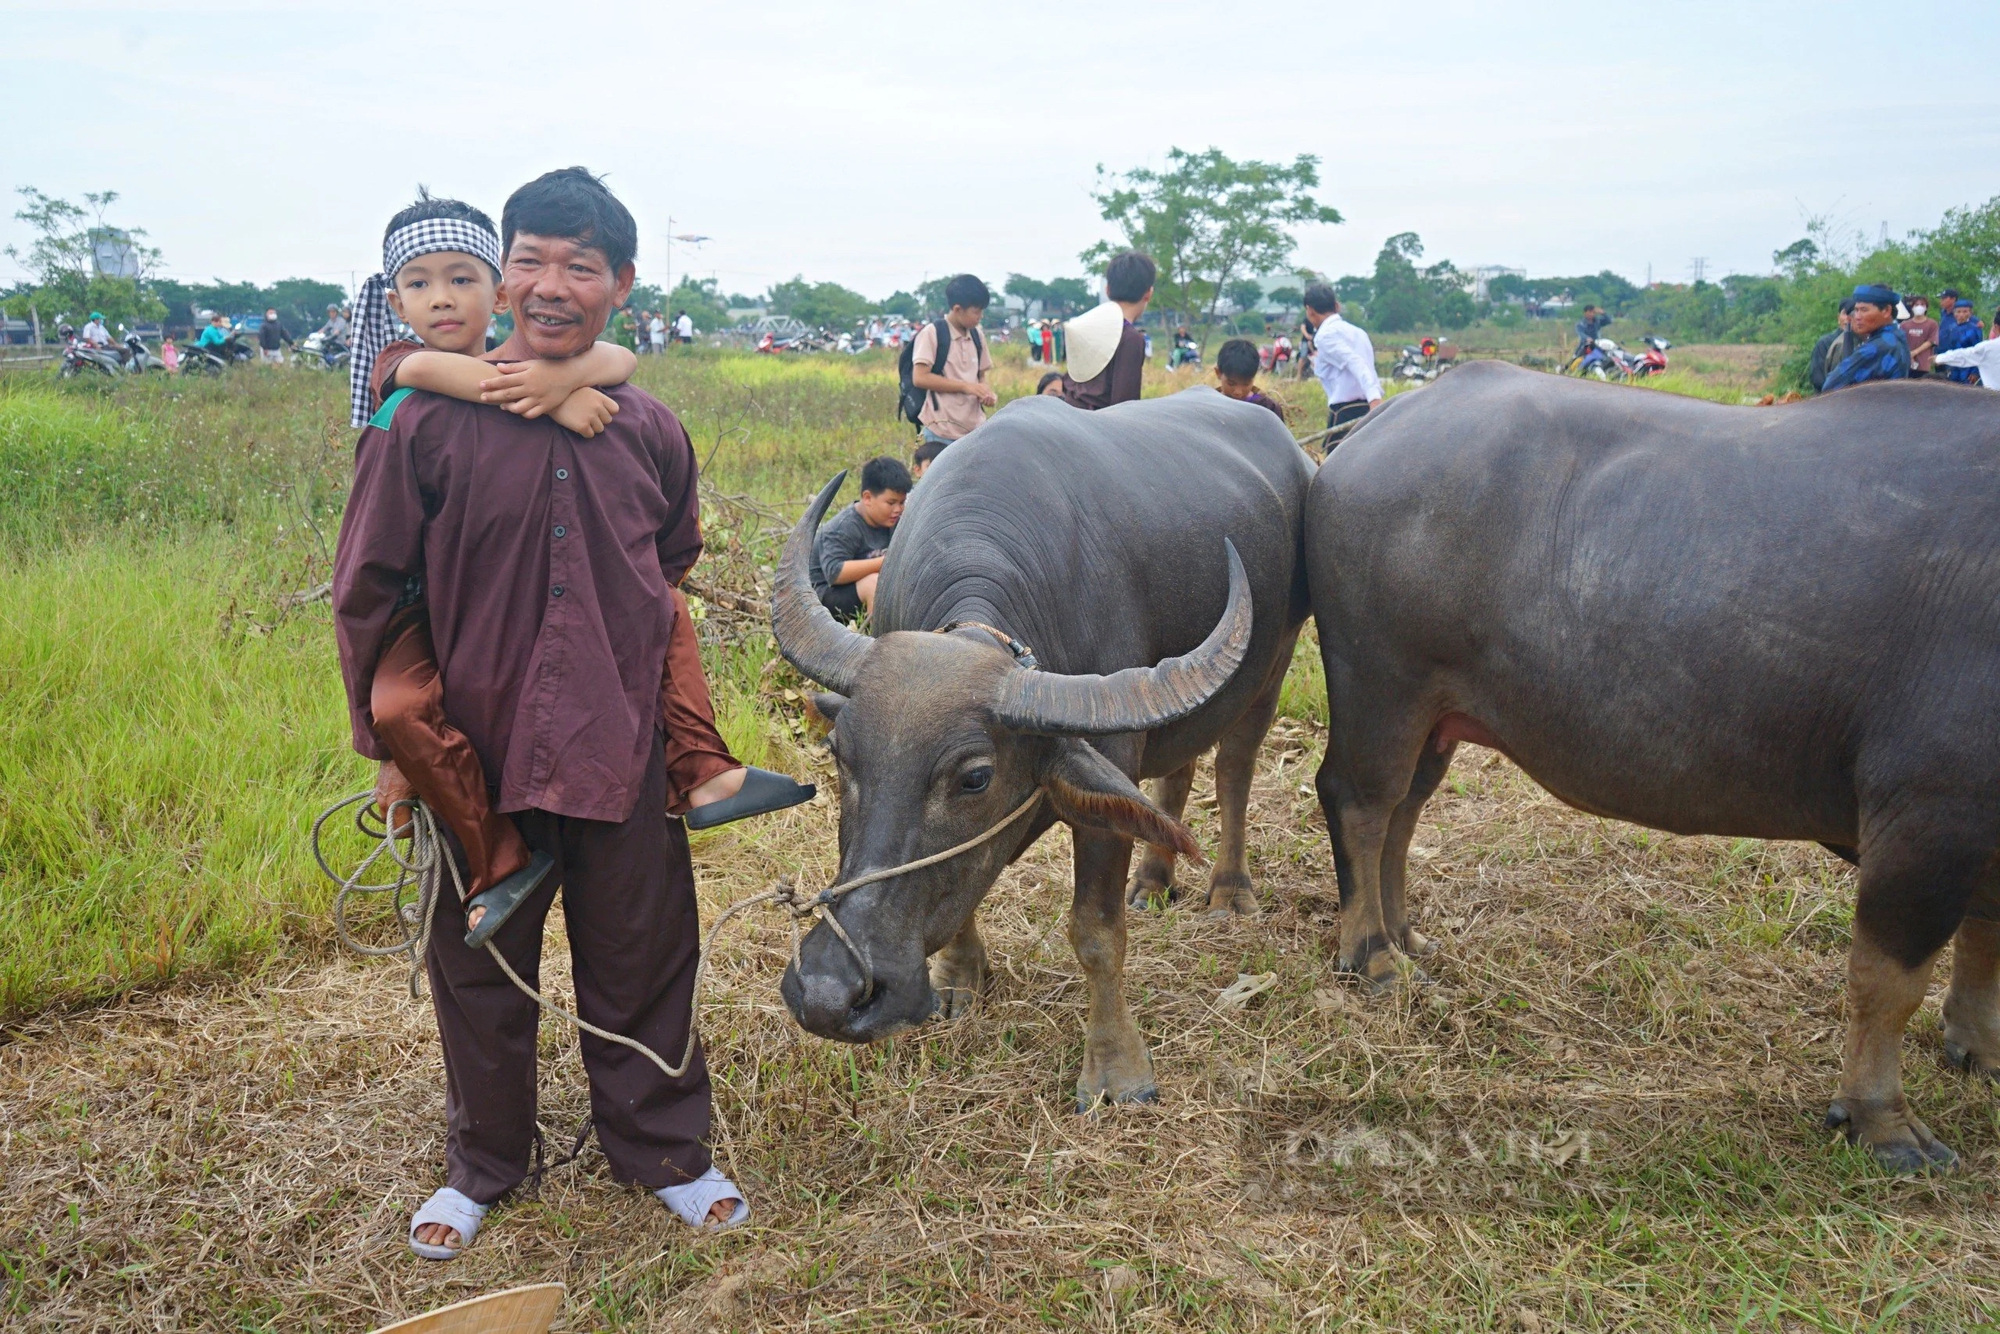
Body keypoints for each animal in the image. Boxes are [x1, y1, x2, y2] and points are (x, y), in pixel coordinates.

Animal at [768, 392, 1312, 1112]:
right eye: (840, 756)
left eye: (975, 777)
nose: (830, 992)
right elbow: (964, 889)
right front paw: (959, 978)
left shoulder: (1108, 773)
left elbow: (1096, 934)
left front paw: (1117, 1072)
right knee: (1180, 771)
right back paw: (1154, 882)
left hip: (1273, 665)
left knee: (1234, 769)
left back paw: (1229, 890)